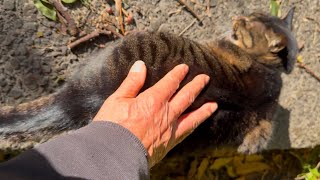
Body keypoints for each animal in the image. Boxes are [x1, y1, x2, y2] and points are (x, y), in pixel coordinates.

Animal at [0, 8, 298, 154]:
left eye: (247, 24)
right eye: (251, 16)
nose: (237, 17)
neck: (268, 68)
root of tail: (79, 99)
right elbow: (258, 136)